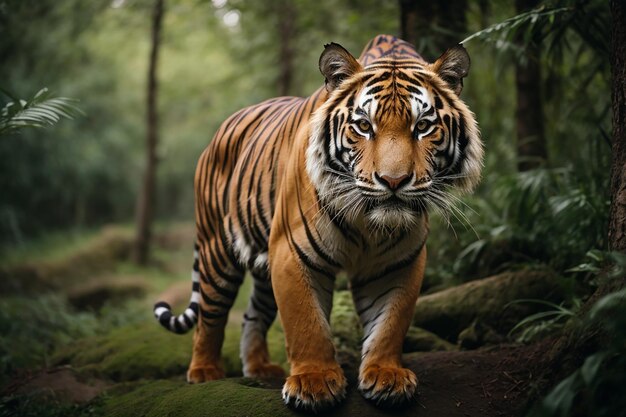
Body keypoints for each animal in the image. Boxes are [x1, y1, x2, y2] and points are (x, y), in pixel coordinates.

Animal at [154, 34, 480, 412]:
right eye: (364, 126)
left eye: (423, 126)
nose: (393, 181)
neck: (369, 224)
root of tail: (220, 129)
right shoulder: (292, 251)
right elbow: (306, 323)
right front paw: (314, 383)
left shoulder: (398, 263)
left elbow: (390, 323)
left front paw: (386, 375)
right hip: (216, 251)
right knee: (210, 315)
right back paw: (205, 371)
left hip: (262, 264)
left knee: (253, 314)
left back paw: (259, 368)